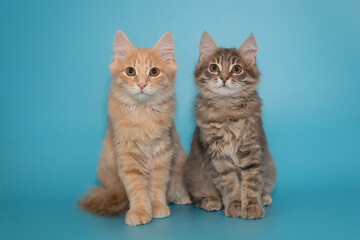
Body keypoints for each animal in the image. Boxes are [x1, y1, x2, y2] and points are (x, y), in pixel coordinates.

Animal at [79, 31, 191, 226]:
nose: (141, 85)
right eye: (130, 71)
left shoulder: (162, 153)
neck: (142, 113)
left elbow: (157, 186)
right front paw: (140, 211)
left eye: (154, 72)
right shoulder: (128, 155)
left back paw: (182, 197)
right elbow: (137, 188)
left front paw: (157, 207)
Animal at [184, 32, 278, 219]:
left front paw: (251, 206)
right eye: (214, 68)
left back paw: (264, 196)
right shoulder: (216, 154)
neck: (227, 111)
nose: (224, 78)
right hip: (193, 174)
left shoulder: (252, 150)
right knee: (197, 197)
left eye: (236, 69)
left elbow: (251, 182)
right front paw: (235, 205)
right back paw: (210, 201)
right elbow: (230, 184)